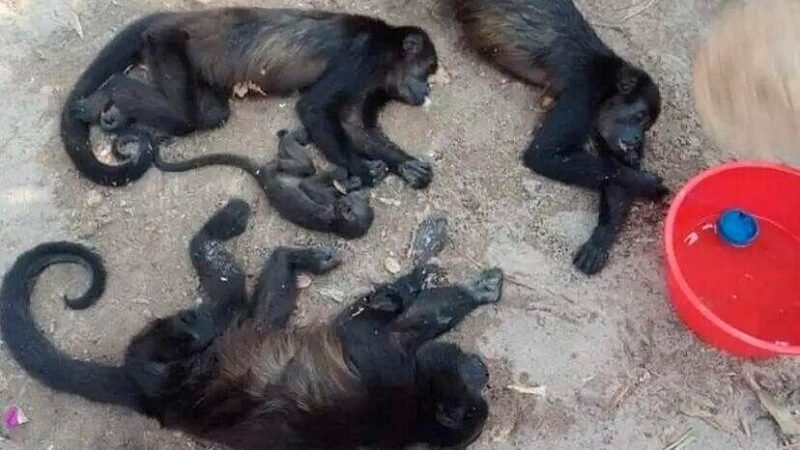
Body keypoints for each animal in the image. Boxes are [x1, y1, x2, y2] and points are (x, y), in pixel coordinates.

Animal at [1, 199, 504, 449]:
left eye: (475, 396)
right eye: (472, 383)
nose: (483, 368)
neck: (419, 410)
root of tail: (143, 394)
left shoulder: (387, 368)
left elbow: (389, 321)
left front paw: (427, 287)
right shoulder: (393, 365)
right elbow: (410, 315)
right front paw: (457, 287)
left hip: (198, 357)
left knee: (221, 301)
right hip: (224, 338)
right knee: (243, 291)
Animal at [63, 8, 438, 190]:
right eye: (427, 72)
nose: (428, 90)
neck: (387, 54)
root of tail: (175, 17)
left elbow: (353, 125)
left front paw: (405, 163)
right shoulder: (361, 58)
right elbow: (313, 108)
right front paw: (360, 169)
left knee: (209, 114)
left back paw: (118, 114)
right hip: (165, 42)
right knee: (182, 115)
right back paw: (111, 93)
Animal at [155, 128, 375, 240]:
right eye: (360, 202)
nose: (362, 197)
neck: (337, 220)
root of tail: (263, 176)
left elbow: (309, 185)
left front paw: (344, 178)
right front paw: (350, 180)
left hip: (278, 169)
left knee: (302, 165)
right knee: (304, 166)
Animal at [452, 0, 668, 275]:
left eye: (647, 125)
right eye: (639, 116)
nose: (638, 138)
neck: (607, 85)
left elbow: (616, 179)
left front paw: (600, 239)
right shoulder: (584, 92)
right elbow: (543, 154)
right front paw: (647, 182)